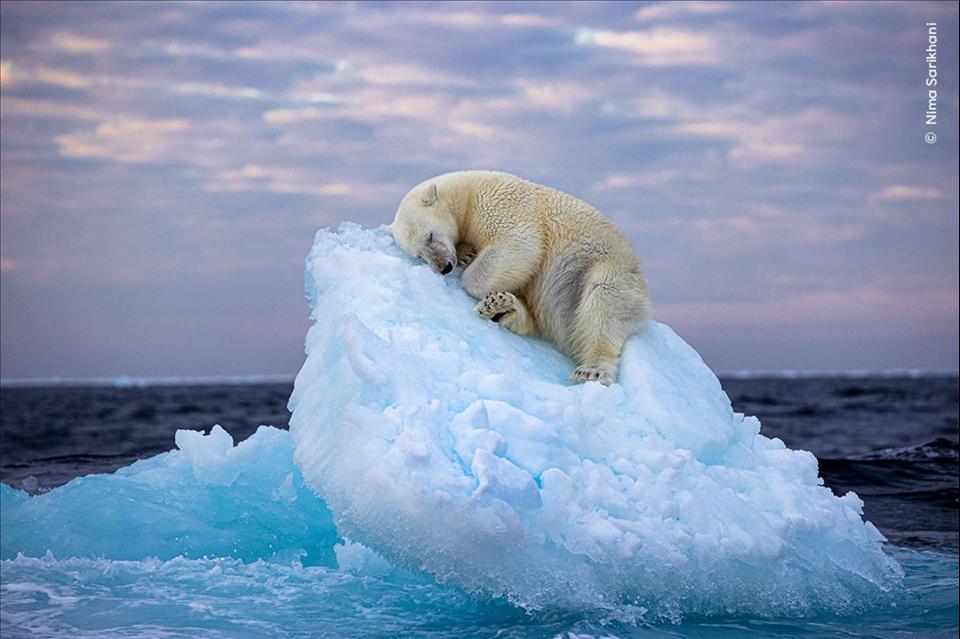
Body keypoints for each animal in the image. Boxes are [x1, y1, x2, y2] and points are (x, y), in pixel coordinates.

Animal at [388, 170, 652, 384]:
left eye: (430, 236)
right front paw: (466, 254)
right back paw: (502, 308)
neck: (468, 193)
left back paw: (592, 369)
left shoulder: (501, 205)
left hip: (607, 269)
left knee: (603, 302)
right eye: (420, 255)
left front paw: (470, 268)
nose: (444, 266)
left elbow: (520, 245)